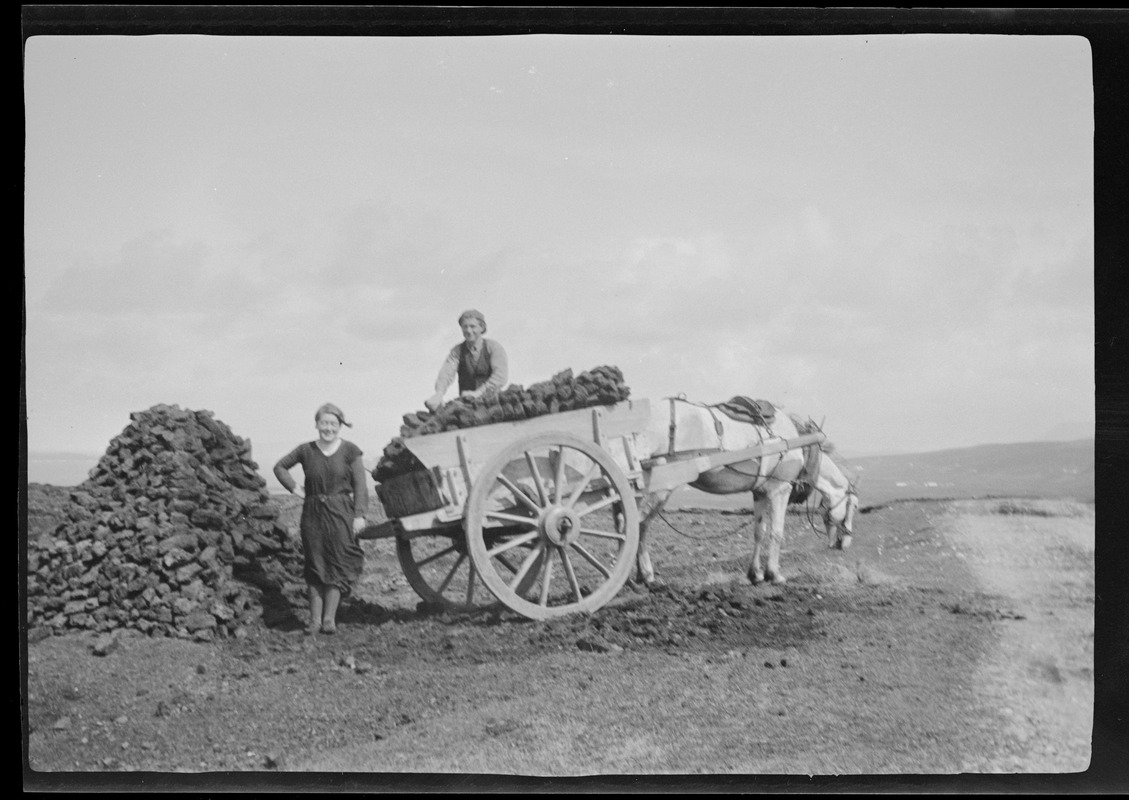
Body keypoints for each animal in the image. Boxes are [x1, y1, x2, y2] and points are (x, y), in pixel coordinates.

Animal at [632, 397, 858, 586]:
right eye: (854, 506)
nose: (845, 543)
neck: (797, 444)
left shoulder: (760, 493)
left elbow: (759, 532)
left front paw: (755, 574)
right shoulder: (780, 490)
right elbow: (776, 532)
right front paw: (774, 574)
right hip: (660, 488)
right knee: (639, 525)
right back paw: (646, 574)